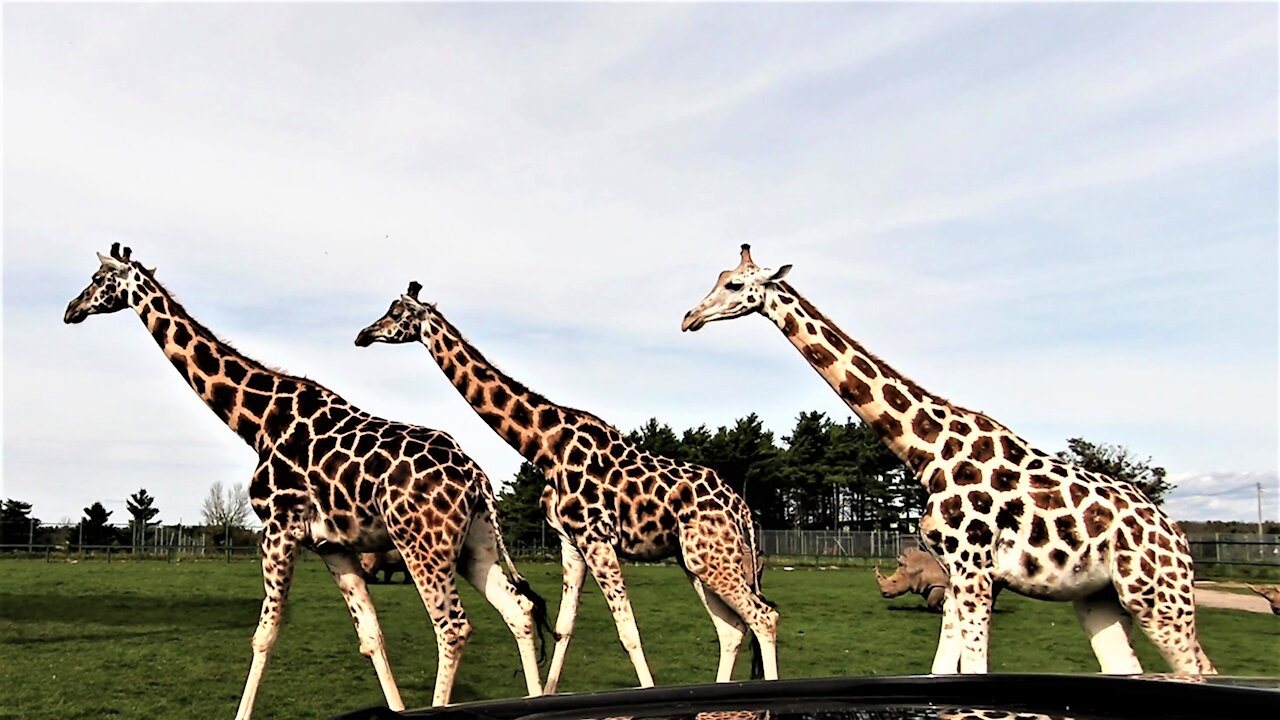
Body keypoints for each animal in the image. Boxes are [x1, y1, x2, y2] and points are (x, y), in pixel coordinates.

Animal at [61, 243, 550, 712]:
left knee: (453, 627)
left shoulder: (279, 528)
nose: (71, 309)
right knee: (518, 609)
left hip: (422, 546)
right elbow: (371, 637)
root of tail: (477, 479)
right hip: (473, 547)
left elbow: (265, 635)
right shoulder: (332, 546)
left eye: (99, 278)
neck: (257, 421)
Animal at [355, 279, 783, 691]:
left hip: (712, 556)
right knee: (732, 629)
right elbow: (564, 628)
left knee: (763, 616)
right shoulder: (571, 542)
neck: (546, 446)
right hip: (698, 559)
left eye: (397, 313)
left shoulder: (597, 538)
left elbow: (629, 634)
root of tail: (742, 509)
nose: (363, 334)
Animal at [686, 244, 1213, 671]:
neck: (928, 450)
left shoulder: (975, 569)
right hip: (1100, 596)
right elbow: (945, 667)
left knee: (1197, 665)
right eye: (718, 277)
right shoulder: (960, 574)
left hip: (1158, 596)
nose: (689, 317)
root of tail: (1178, 537)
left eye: (734, 284)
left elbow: (975, 666)